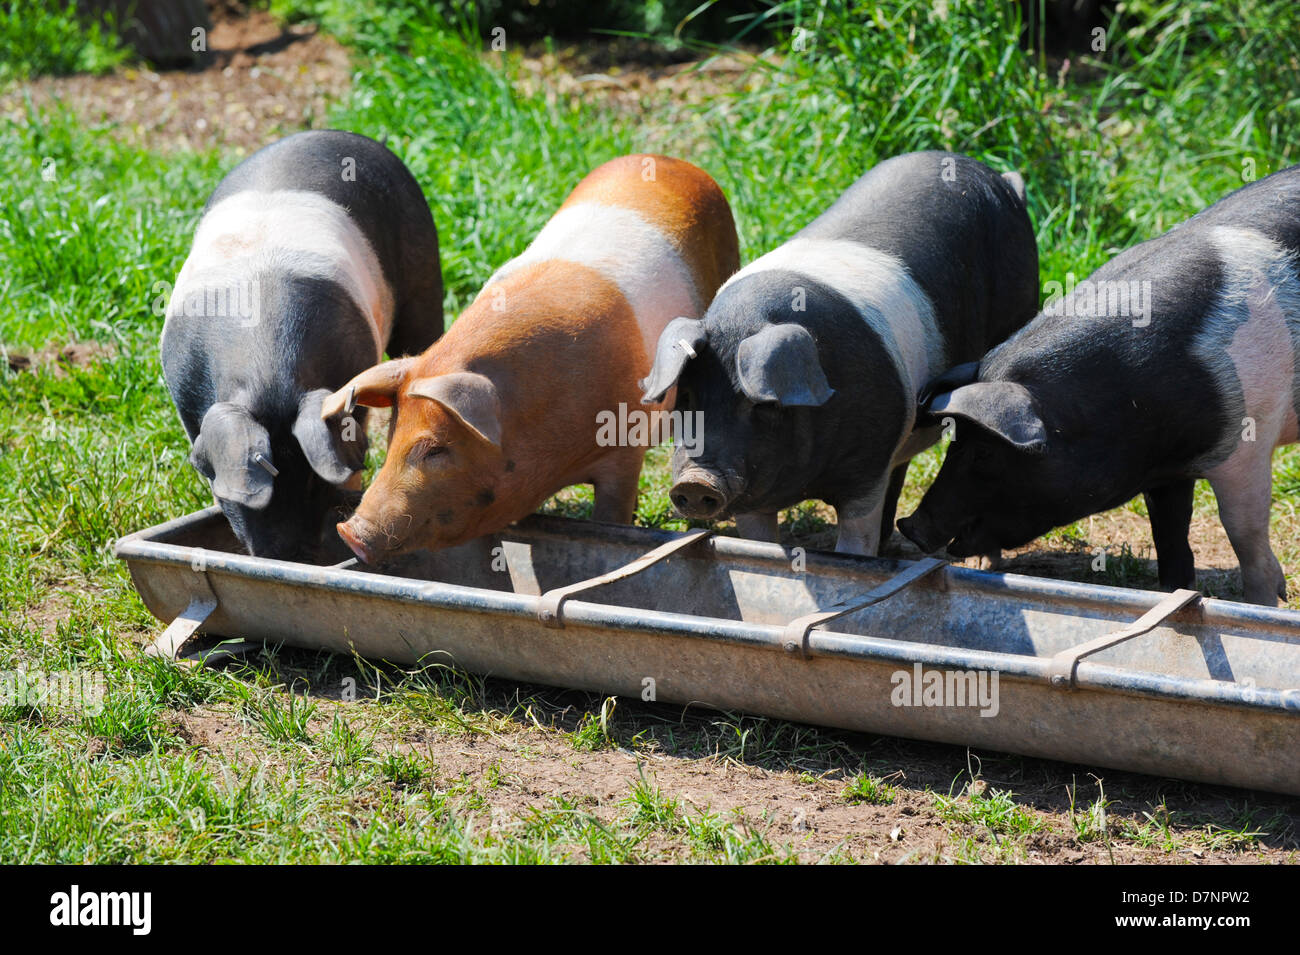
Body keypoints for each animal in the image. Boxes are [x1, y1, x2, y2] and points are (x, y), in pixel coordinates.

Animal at [159, 127, 444, 561]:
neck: (268, 378)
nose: (288, 557)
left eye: (314, 483)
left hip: (423, 269)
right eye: (249, 500)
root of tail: (333, 132)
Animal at [639, 152, 1034, 556]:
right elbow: (758, 541)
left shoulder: (868, 471)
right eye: (687, 398)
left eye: (762, 405)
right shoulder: (754, 496)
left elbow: (856, 540)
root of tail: (994, 175)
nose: (694, 482)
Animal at [899, 160, 1300, 600]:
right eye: (953, 442)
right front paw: (1172, 594)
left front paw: (1268, 600)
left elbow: (1244, 536)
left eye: (985, 453)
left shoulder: (1249, 440)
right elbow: (1170, 536)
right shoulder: (1167, 471)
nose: (909, 526)